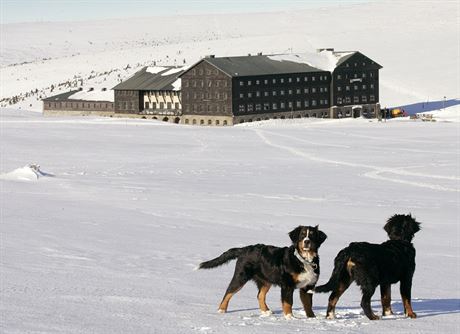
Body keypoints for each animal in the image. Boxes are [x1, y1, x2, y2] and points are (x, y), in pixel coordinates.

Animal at [198, 224, 328, 318]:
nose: (306, 241)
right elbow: (288, 303)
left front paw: (312, 318)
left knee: (260, 295)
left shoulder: (308, 286)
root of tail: (244, 249)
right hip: (241, 276)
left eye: (312, 235)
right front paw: (290, 318)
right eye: (302, 235)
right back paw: (221, 310)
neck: (304, 260)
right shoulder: (287, 285)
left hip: (266, 280)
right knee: (228, 292)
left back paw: (266, 312)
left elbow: (308, 305)